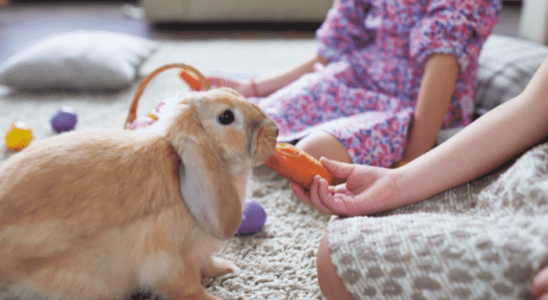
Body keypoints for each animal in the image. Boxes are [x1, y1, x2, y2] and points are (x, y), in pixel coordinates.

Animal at [0, 63, 276, 300]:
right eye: (226, 117)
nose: (274, 131)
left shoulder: (196, 255)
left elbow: (206, 263)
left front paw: (227, 268)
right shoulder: (170, 260)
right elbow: (185, 287)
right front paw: (211, 296)